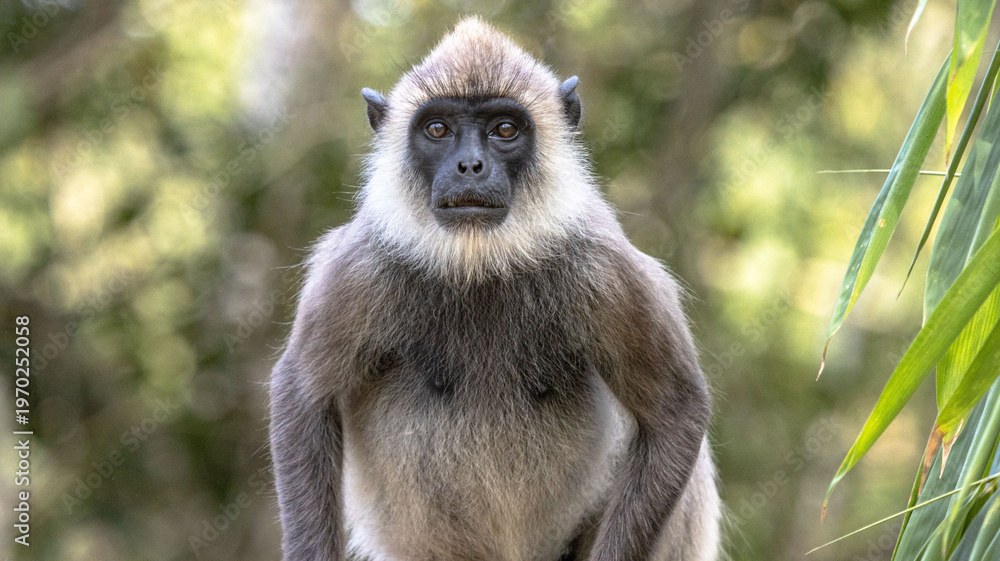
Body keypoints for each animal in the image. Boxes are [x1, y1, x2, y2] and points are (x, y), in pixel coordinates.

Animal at [270, 16, 721, 561]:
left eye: (504, 129)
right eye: (437, 129)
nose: (470, 166)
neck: (479, 263)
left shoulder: (604, 267)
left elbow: (677, 411)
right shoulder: (358, 268)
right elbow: (302, 397)